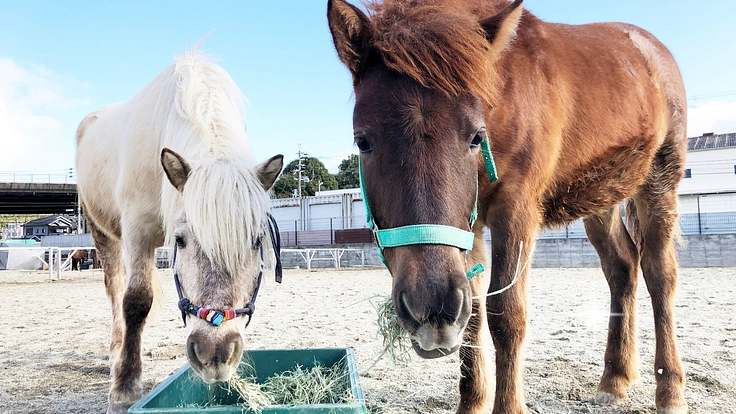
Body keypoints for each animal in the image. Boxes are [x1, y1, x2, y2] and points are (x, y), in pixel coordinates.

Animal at [76, 50, 283, 413]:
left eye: (257, 241)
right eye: (181, 241)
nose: (215, 355)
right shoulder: (137, 230)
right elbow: (136, 301)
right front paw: (125, 386)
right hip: (101, 230)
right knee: (115, 289)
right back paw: (115, 353)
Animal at [328, 1, 687, 413]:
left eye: (475, 137)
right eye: (363, 141)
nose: (430, 307)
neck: (500, 101)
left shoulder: (515, 211)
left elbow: (506, 314)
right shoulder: (468, 228)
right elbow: (473, 313)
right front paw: (472, 402)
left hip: (660, 181)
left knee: (659, 274)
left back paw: (670, 390)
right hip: (602, 198)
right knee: (622, 267)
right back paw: (614, 379)